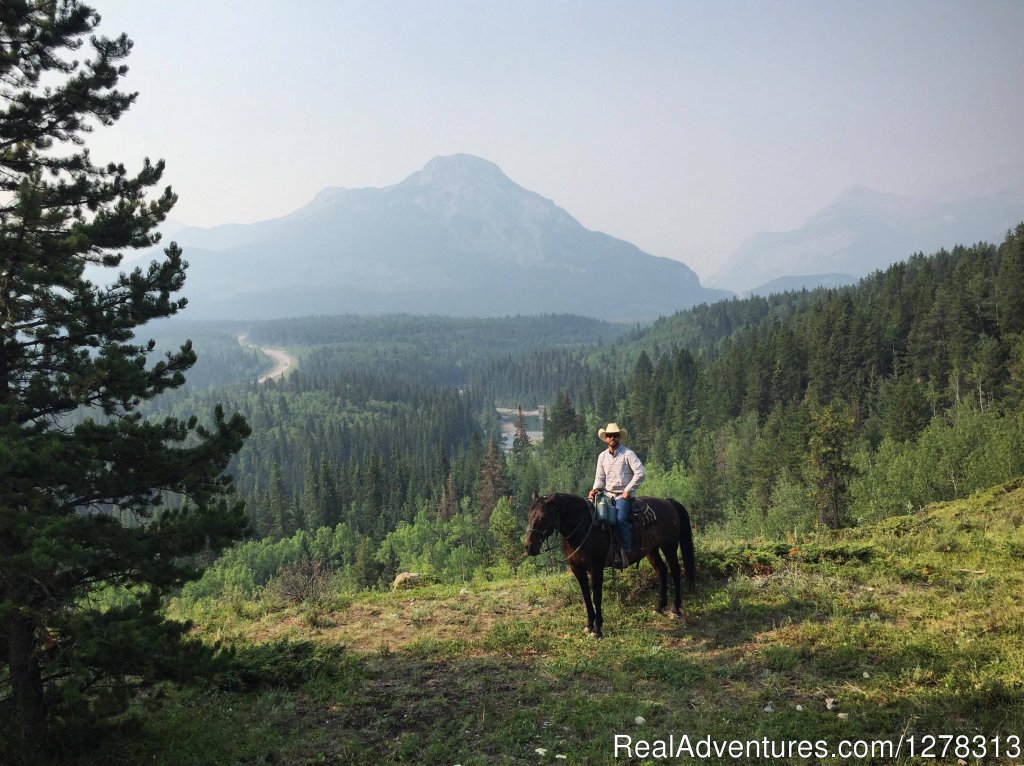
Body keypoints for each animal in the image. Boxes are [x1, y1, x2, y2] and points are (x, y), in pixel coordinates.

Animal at [520, 493, 696, 639]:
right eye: (529, 516)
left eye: (543, 517)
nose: (529, 546)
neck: (584, 529)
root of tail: (668, 502)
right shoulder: (577, 569)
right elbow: (586, 596)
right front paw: (589, 625)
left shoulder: (596, 568)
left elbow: (596, 597)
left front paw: (597, 629)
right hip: (652, 550)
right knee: (662, 570)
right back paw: (659, 606)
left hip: (669, 546)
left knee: (675, 571)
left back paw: (675, 609)